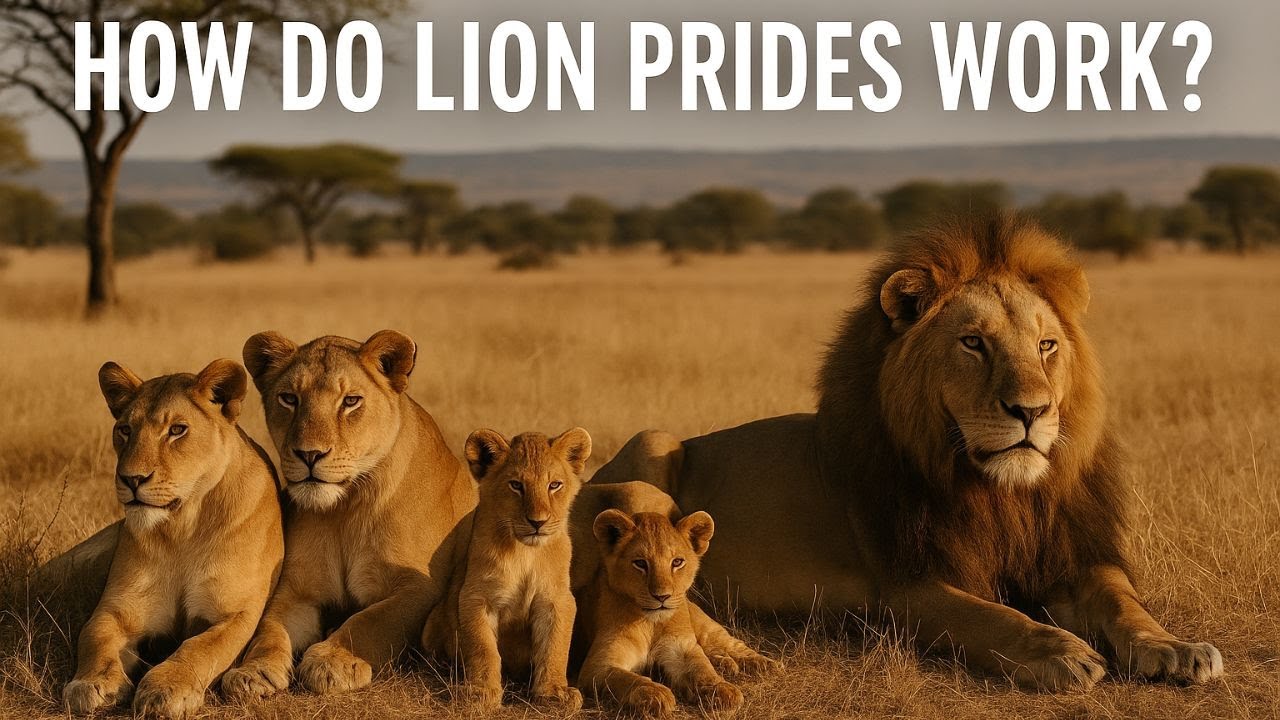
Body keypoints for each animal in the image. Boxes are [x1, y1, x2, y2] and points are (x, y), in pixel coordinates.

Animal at [63, 359, 283, 719]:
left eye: (177, 430)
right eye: (125, 430)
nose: (132, 479)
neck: (183, 527)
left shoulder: (236, 612)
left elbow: (200, 647)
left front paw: (166, 689)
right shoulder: (117, 607)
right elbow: (93, 635)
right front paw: (90, 683)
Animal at [220, 330, 477, 699]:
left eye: (351, 401)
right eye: (289, 398)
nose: (309, 455)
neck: (346, 508)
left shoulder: (421, 588)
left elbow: (372, 620)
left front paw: (333, 662)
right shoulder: (297, 589)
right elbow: (269, 629)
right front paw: (253, 672)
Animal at [421, 427, 593, 710]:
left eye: (554, 485)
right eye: (516, 485)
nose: (538, 522)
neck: (525, 553)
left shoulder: (557, 599)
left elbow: (555, 647)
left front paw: (554, 692)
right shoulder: (476, 596)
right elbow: (483, 648)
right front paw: (480, 692)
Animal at [575, 509, 743, 719]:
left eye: (677, 562)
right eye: (640, 563)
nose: (662, 596)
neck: (651, 623)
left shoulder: (682, 648)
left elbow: (702, 668)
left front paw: (721, 688)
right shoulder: (597, 665)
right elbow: (624, 677)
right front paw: (655, 693)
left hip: (708, 629)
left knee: (732, 645)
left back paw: (762, 665)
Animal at [593, 214, 1223, 691]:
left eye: (1047, 345)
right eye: (973, 343)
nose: (1032, 411)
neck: (1000, 493)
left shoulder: (1070, 552)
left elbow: (1123, 600)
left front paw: (1175, 647)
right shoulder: (906, 587)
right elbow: (993, 616)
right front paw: (1060, 652)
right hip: (653, 442)